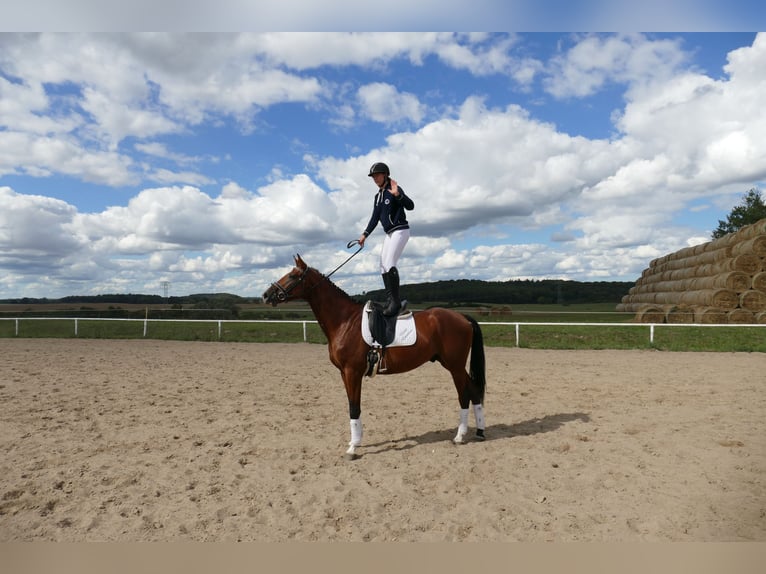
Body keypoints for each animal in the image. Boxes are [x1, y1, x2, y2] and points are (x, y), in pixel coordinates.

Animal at [262, 254, 487, 459]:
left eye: (293, 276)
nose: (266, 295)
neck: (345, 321)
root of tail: (462, 317)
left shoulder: (352, 372)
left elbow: (354, 407)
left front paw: (353, 448)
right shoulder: (345, 373)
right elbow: (354, 405)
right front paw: (356, 441)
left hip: (455, 366)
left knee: (464, 394)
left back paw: (460, 436)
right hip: (451, 364)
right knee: (475, 391)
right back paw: (479, 432)